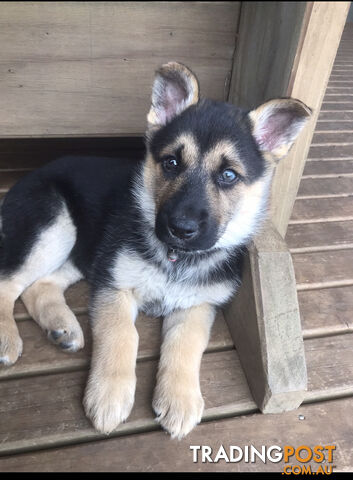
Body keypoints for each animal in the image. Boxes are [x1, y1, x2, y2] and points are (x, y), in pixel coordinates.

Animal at [0, 62, 310, 438]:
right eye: (171, 163)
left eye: (229, 175)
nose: (181, 229)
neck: (176, 259)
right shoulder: (115, 285)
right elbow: (122, 335)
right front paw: (109, 395)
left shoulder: (197, 305)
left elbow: (185, 345)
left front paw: (179, 399)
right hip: (56, 227)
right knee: (8, 283)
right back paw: (7, 340)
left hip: (83, 250)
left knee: (38, 286)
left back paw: (63, 328)